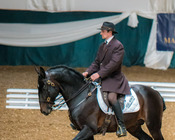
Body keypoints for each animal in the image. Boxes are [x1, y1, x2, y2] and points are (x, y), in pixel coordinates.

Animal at [35, 66, 165, 140]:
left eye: (44, 87)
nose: (43, 110)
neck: (82, 97)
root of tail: (155, 92)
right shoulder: (86, 131)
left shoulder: (89, 129)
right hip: (134, 127)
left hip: (153, 125)